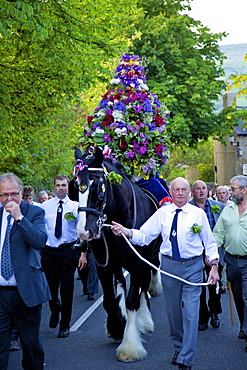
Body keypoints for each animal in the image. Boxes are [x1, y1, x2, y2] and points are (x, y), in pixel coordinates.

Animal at [71, 147, 162, 362]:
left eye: (98, 186)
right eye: (76, 186)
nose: (83, 231)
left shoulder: (137, 265)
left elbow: (132, 301)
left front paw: (130, 347)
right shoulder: (105, 266)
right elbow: (109, 300)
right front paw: (116, 328)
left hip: (149, 259)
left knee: (144, 285)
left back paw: (145, 319)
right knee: (121, 284)